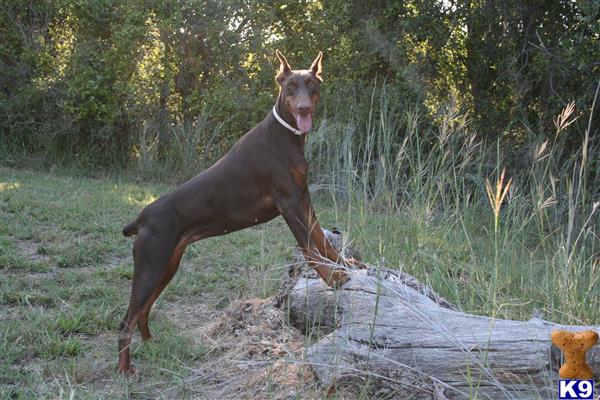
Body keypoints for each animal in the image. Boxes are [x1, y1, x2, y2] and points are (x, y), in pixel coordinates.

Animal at [117, 50, 360, 376]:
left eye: (311, 84)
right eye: (290, 87)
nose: (304, 108)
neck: (285, 135)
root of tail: (141, 218)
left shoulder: (304, 198)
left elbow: (321, 240)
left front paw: (344, 264)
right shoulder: (288, 202)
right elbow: (309, 246)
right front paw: (333, 279)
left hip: (167, 265)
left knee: (143, 310)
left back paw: (151, 343)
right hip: (150, 266)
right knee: (126, 319)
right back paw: (124, 369)